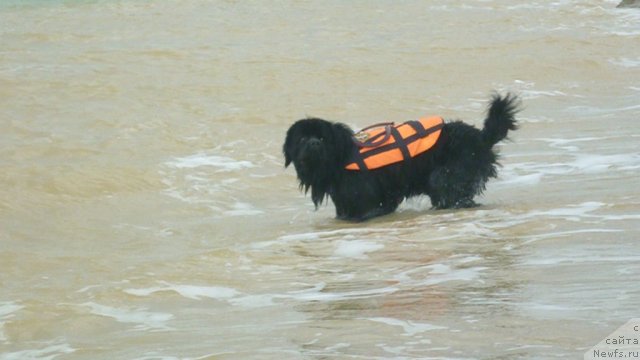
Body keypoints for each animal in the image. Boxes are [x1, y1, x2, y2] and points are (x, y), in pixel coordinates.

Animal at [284, 93, 520, 221]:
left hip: (446, 176)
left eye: (322, 138)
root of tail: (481, 136)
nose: (313, 143)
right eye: (302, 139)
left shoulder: (365, 202)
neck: (340, 159)